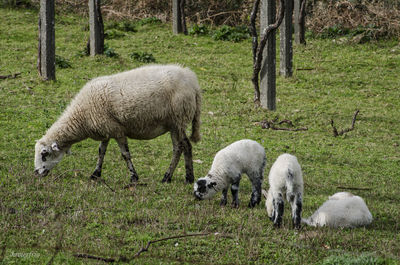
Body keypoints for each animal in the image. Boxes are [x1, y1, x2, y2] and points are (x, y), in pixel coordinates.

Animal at [33, 64, 202, 184]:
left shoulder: (117, 130)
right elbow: (101, 152)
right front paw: (95, 174)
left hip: (178, 119)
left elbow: (125, 154)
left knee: (182, 147)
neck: (82, 116)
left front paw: (134, 178)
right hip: (176, 123)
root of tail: (192, 81)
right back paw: (179, 177)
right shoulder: (105, 129)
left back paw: (176, 178)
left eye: (44, 154)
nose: (36, 173)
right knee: (182, 147)